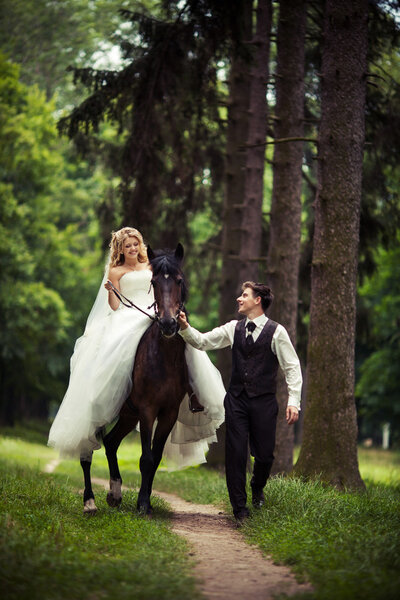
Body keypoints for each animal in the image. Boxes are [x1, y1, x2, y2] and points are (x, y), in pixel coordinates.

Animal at [80, 244, 190, 516]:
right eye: (154, 282)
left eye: (179, 280)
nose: (169, 324)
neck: (164, 357)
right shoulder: (148, 410)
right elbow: (146, 458)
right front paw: (142, 504)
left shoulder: (169, 412)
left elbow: (156, 457)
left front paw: (146, 500)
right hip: (100, 413)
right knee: (87, 451)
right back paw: (89, 501)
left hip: (128, 414)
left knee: (110, 443)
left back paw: (115, 493)